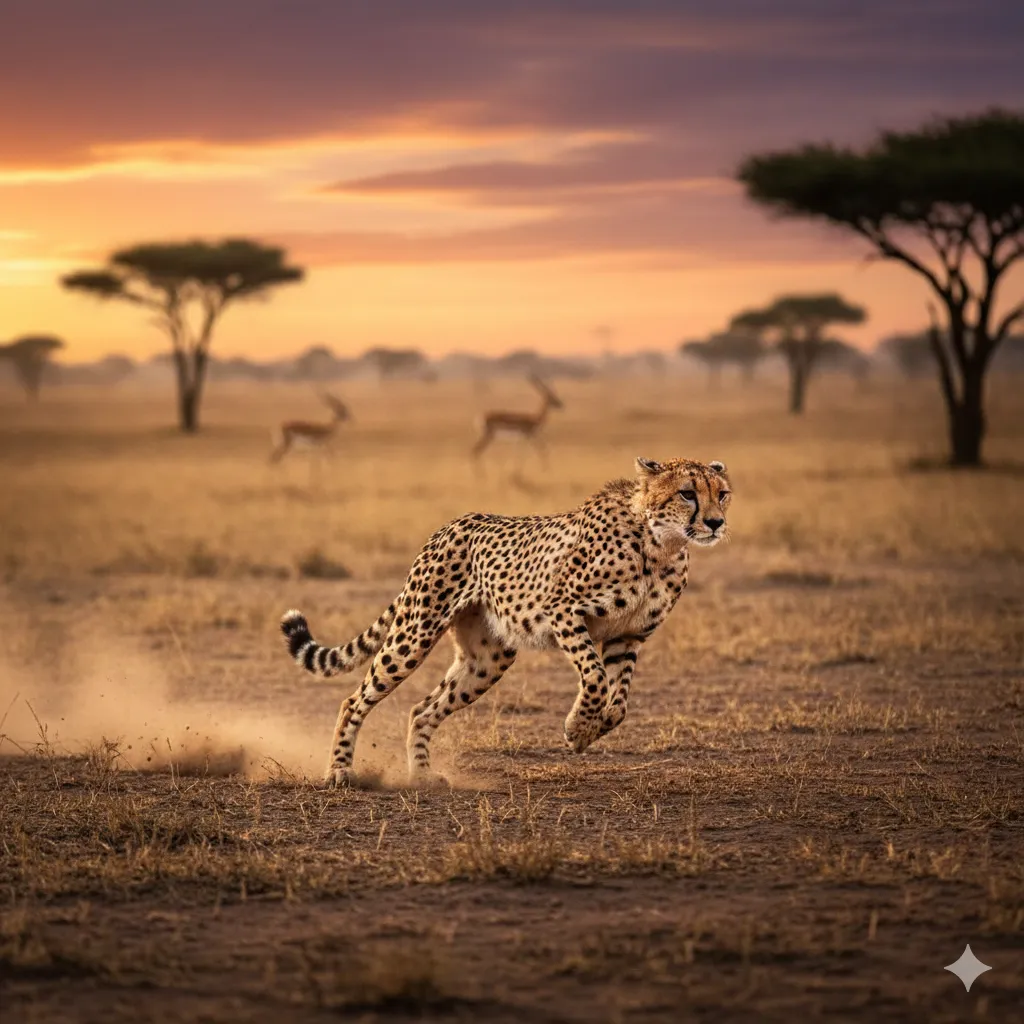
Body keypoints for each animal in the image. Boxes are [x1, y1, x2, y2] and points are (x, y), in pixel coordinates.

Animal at [280, 456, 731, 786]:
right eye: (687, 494)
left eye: (723, 494)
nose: (715, 523)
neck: (660, 545)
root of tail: (449, 525)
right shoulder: (563, 610)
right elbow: (595, 678)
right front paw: (577, 727)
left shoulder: (629, 636)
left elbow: (619, 703)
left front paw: (591, 730)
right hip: (415, 632)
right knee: (354, 698)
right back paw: (339, 771)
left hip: (487, 660)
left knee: (422, 709)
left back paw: (422, 775)